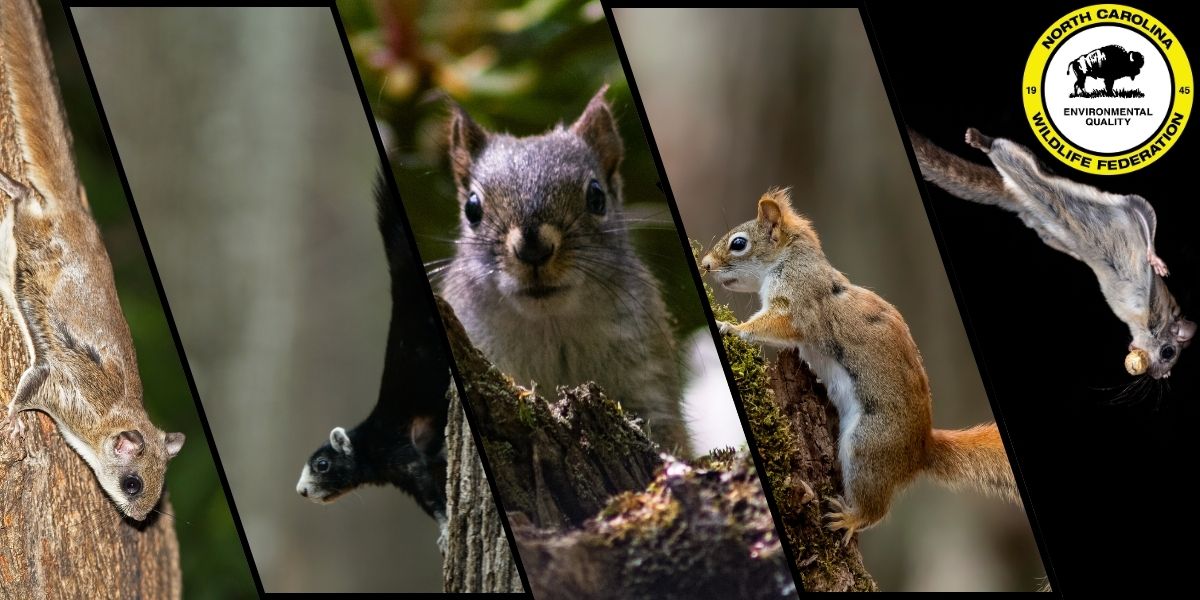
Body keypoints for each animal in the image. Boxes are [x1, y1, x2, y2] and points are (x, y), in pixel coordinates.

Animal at [0, 0, 183, 522]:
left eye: (156, 492)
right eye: (132, 483)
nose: (139, 520)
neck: (112, 416)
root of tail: (72, 208)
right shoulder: (59, 388)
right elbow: (27, 392)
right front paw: (10, 423)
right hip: (35, 234)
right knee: (25, 201)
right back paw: (10, 185)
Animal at [296, 173, 450, 544]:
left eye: (322, 465)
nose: (301, 491)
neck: (371, 441)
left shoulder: (402, 454)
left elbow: (431, 494)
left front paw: (446, 530)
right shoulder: (415, 458)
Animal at [700, 188, 1018, 544]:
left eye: (739, 243)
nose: (705, 264)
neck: (790, 259)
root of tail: (921, 449)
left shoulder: (800, 303)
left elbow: (777, 325)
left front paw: (731, 328)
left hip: (867, 449)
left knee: (876, 509)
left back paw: (850, 518)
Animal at [909, 127, 1194, 378]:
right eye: (1169, 352)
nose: (1158, 376)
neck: (1143, 321)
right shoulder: (1131, 222)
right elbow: (1141, 211)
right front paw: (1157, 261)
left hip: (1039, 224)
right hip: (1022, 160)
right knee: (1002, 148)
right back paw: (979, 139)